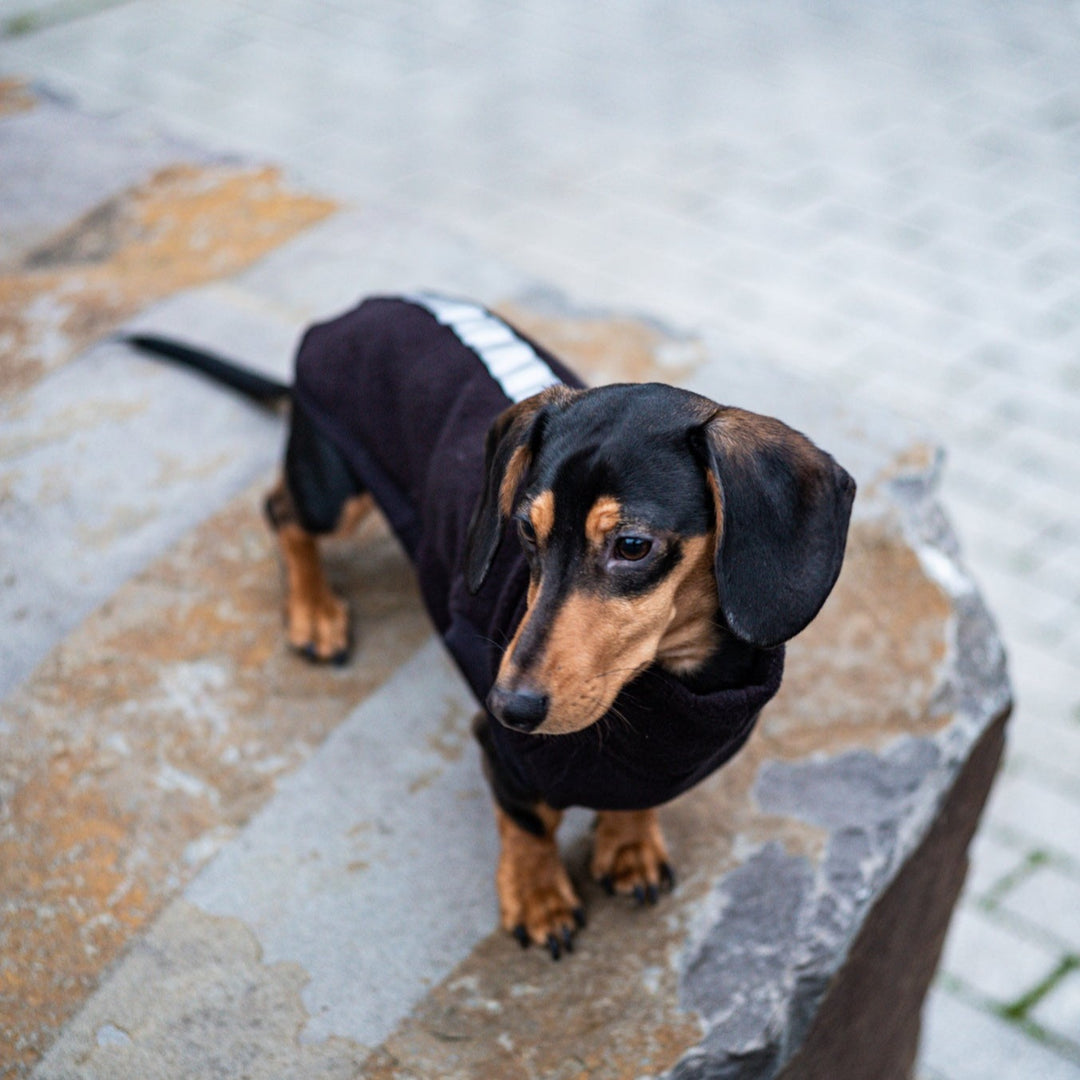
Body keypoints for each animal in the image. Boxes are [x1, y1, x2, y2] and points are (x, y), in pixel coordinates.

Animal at [126, 291, 855, 959]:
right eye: (524, 532)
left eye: (633, 546)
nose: (512, 705)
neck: (669, 687)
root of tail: (355, 310)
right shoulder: (503, 753)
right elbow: (527, 824)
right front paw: (537, 898)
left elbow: (634, 794)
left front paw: (629, 843)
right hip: (335, 487)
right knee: (281, 510)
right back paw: (314, 610)